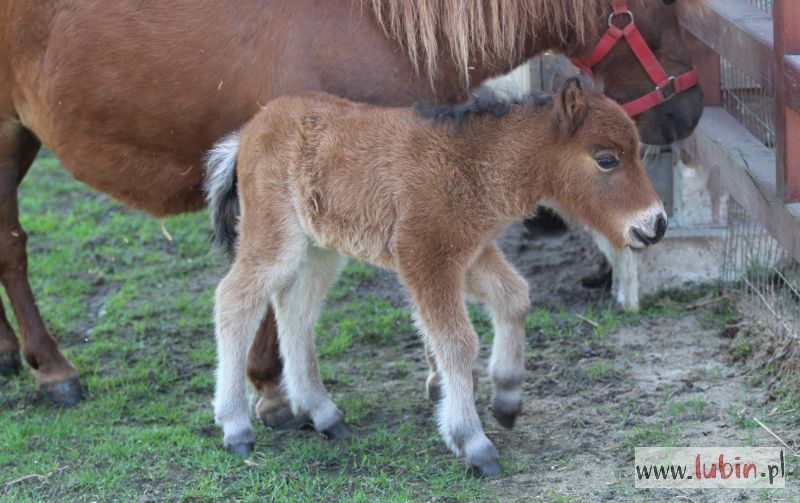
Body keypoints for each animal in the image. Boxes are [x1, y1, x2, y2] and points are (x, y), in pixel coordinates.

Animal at [0, 0, 700, 408]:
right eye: (667, 7)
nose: (689, 109)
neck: (377, 27)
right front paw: (272, 386)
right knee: (11, 248)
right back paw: (53, 369)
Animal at [203, 78, 664, 476]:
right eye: (606, 159)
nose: (656, 225)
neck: (475, 163)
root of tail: (247, 132)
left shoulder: (472, 255)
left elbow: (515, 297)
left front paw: (507, 401)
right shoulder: (425, 258)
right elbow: (457, 343)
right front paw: (473, 444)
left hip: (320, 249)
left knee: (294, 310)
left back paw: (323, 414)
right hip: (274, 239)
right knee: (235, 300)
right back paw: (237, 428)